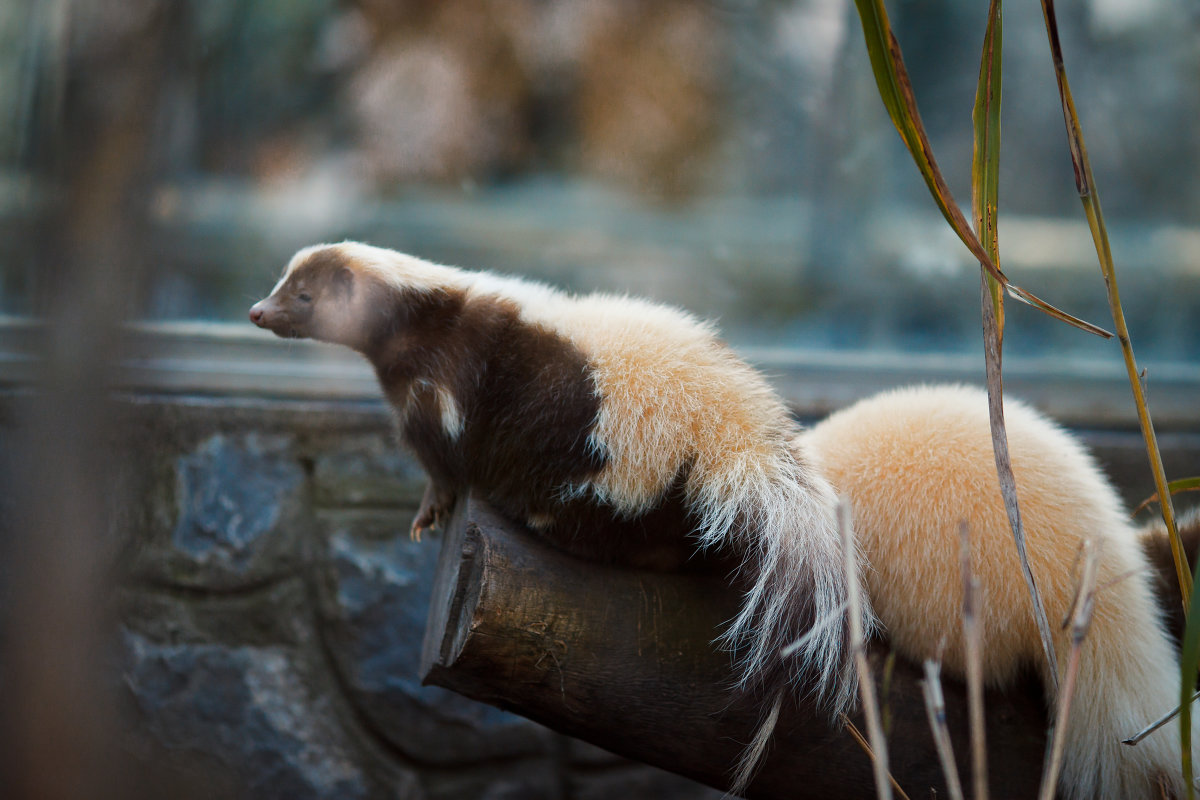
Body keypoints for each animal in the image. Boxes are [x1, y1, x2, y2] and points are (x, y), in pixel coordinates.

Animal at [253, 241, 1190, 796]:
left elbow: (448, 461)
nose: (258, 314)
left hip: (620, 449)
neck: (425, 309)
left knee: (639, 528)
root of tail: (733, 435)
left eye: (301, 295)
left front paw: (437, 507)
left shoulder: (448, 385)